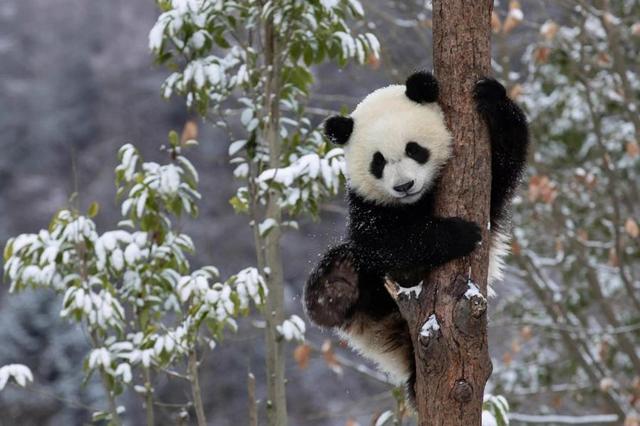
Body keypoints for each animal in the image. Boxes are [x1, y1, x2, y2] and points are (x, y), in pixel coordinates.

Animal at [304, 70, 528, 402]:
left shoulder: (490, 187)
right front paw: (460, 234)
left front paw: (491, 97)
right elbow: (386, 243)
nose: (404, 186)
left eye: (414, 149)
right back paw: (335, 287)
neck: (416, 203)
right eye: (378, 161)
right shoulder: (367, 206)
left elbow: (505, 160)